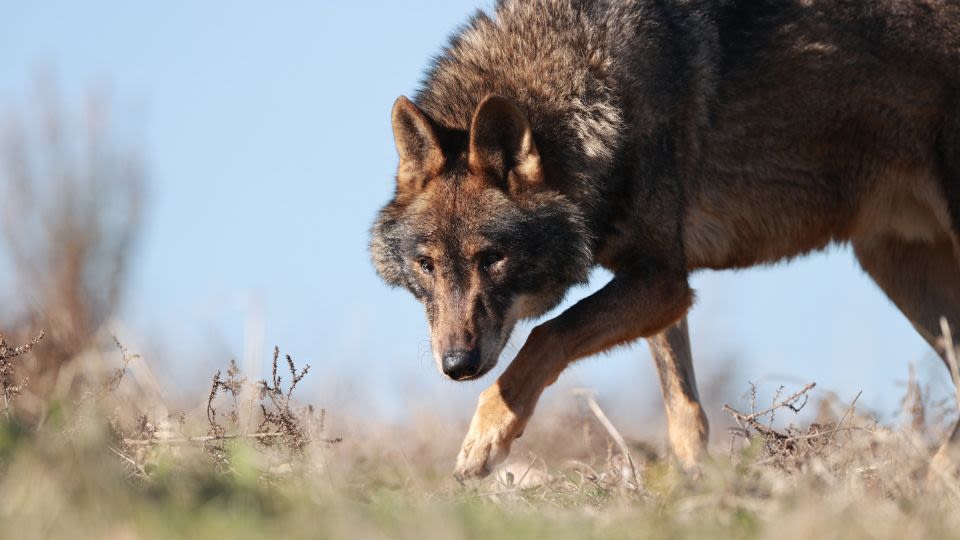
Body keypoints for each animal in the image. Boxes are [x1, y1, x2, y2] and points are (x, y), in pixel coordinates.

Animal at [370, 0, 960, 480]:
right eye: (426, 265)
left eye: (493, 258)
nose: (456, 366)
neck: (594, 89)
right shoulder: (661, 286)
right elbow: (685, 413)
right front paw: (695, 491)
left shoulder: (662, 281)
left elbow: (547, 336)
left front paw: (484, 440)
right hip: (897, 269)